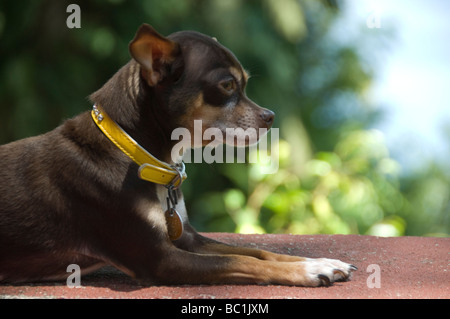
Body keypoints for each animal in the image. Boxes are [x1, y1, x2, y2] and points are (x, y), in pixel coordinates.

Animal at [0, 23, 358, 286]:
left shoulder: (187, 238)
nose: (269, 116)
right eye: (227, 86)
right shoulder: (160, 259)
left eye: (243, 84)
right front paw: (307, 271)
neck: (136, 154)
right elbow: (241, 260)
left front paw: (320, 261)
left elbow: (255, 251)